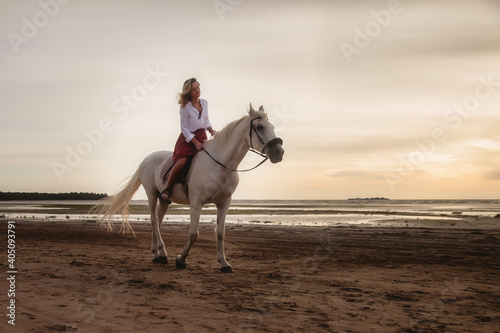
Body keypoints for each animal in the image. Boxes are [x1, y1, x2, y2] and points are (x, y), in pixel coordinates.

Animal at [92, 104, 284, 272]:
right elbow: (193, 234)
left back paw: (157, 254)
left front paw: (224, 263)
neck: (220, 165)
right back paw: (162, 253)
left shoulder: (224, 203)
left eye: (272, 126)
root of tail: (146, 159)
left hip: (164, 200)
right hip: (151, 194)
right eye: (260, 127)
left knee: (158, 222)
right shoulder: (196, 203)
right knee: (153, 220)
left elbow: (220, 233)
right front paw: (180, 260)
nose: (279, 152)